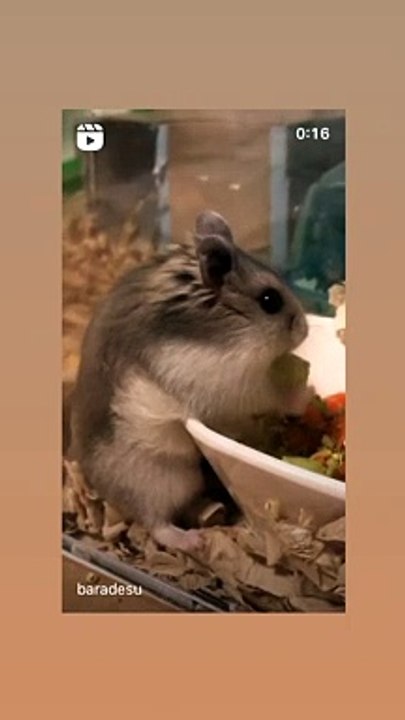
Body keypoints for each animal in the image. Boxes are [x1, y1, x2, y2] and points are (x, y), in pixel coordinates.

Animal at [70, 211, 309, 553]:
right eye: (270, 300)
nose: (305, 329)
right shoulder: (230, 385)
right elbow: (271, 394)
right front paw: (304, 395)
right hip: (160, 478)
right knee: (156, 524)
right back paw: (194, 539)